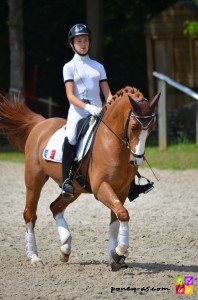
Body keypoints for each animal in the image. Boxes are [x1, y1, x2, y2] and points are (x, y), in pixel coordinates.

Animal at [0, 86, 160, 272]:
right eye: (134, 126)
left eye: (151, 128)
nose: (136, 160)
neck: (111, 141)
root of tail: (41, 123)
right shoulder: (101, 187)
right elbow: (123, 214)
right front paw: (120, 251)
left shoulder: (121, 190)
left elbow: (117, 219)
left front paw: (114, 257)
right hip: (34, 180)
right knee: (30, 214)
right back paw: (34, 257)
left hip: (74, 189)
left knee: (55, 207)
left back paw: (65, 249)